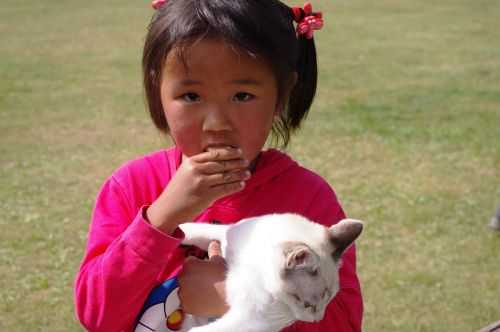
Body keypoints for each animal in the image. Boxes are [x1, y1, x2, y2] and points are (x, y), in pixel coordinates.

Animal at [180, 213, 364, 332]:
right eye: (307, 305)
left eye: (329, 302)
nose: (317, 320)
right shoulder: (224, 232)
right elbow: (191, 229)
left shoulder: (249, 321)